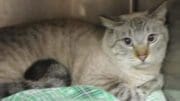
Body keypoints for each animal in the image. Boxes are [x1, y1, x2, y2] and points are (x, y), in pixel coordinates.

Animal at [0, 1, 169, 101]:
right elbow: (131, 92)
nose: (143, 56)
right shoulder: (98, 79)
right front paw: (139, 91)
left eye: (151, 38)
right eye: (127, 41)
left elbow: (158, 80)